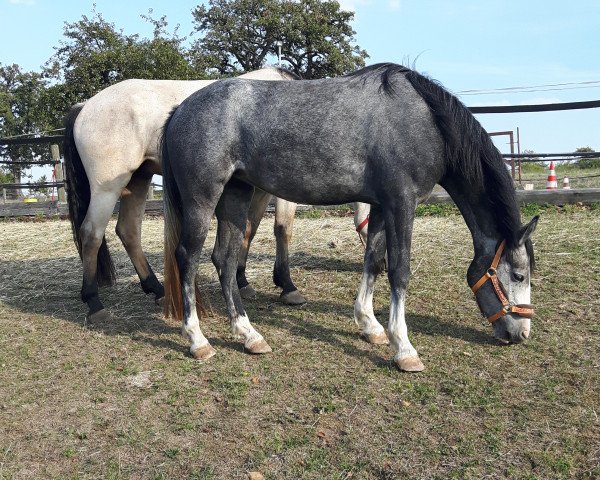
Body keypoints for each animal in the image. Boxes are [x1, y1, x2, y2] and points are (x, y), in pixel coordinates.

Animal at [161, 62, 540, 372]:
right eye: (519, 275)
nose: (520, 333)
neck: (425, 122)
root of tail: (180, 110)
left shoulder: (381, 206)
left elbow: (373, 261)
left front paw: (370, 326)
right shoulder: (402, 204)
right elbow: (399, 271)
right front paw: (404, 349)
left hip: (236, 195)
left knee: (224, 260)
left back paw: (248, 334)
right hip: (202, 199)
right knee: (188, 258)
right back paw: (198, 341)